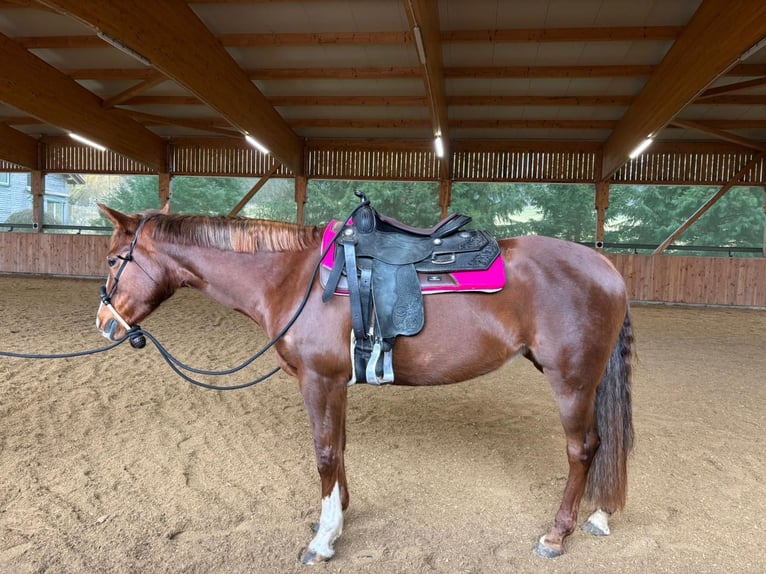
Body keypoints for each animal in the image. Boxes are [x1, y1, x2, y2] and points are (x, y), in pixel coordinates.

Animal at [95, 202, 634, 564]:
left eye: (114, 259)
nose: (104, 323)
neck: (293, 278)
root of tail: (606, 268)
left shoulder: (319, 380)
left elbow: (324, 452)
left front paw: (323, 540)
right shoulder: (336, 383)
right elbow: (339, 446)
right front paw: (337, 516)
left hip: (571, 381)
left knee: (583, 448)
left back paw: (556, 535)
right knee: (603, 443)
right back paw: (599, 515)